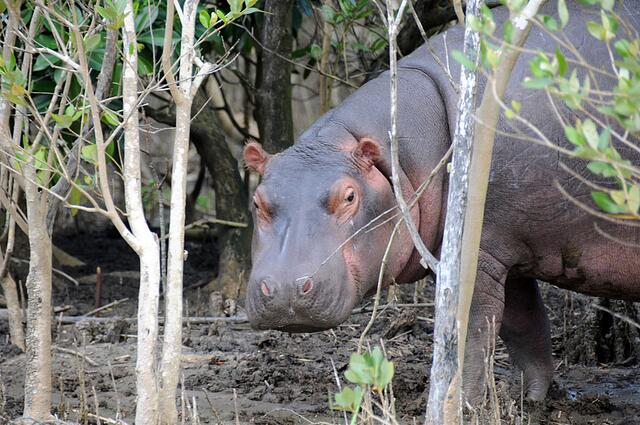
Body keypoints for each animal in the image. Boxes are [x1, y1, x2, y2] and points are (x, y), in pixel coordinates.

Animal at [243, 1, 640, 402]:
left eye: (350, 196)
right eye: (258, 202)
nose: (285, 289)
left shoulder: (474, 257)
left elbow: (470, 335)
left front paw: (461, 403)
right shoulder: (501, 250)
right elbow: (526, 330)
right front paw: (531, 401)